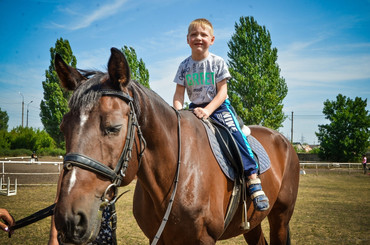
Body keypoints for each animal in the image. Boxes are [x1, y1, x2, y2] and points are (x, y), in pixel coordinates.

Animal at [53, 47, 300, 244]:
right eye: (63, 128)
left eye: (113, 127)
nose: (69, 219)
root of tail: (284, 141)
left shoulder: (204, 239)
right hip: (252, 223)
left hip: (280, 218)